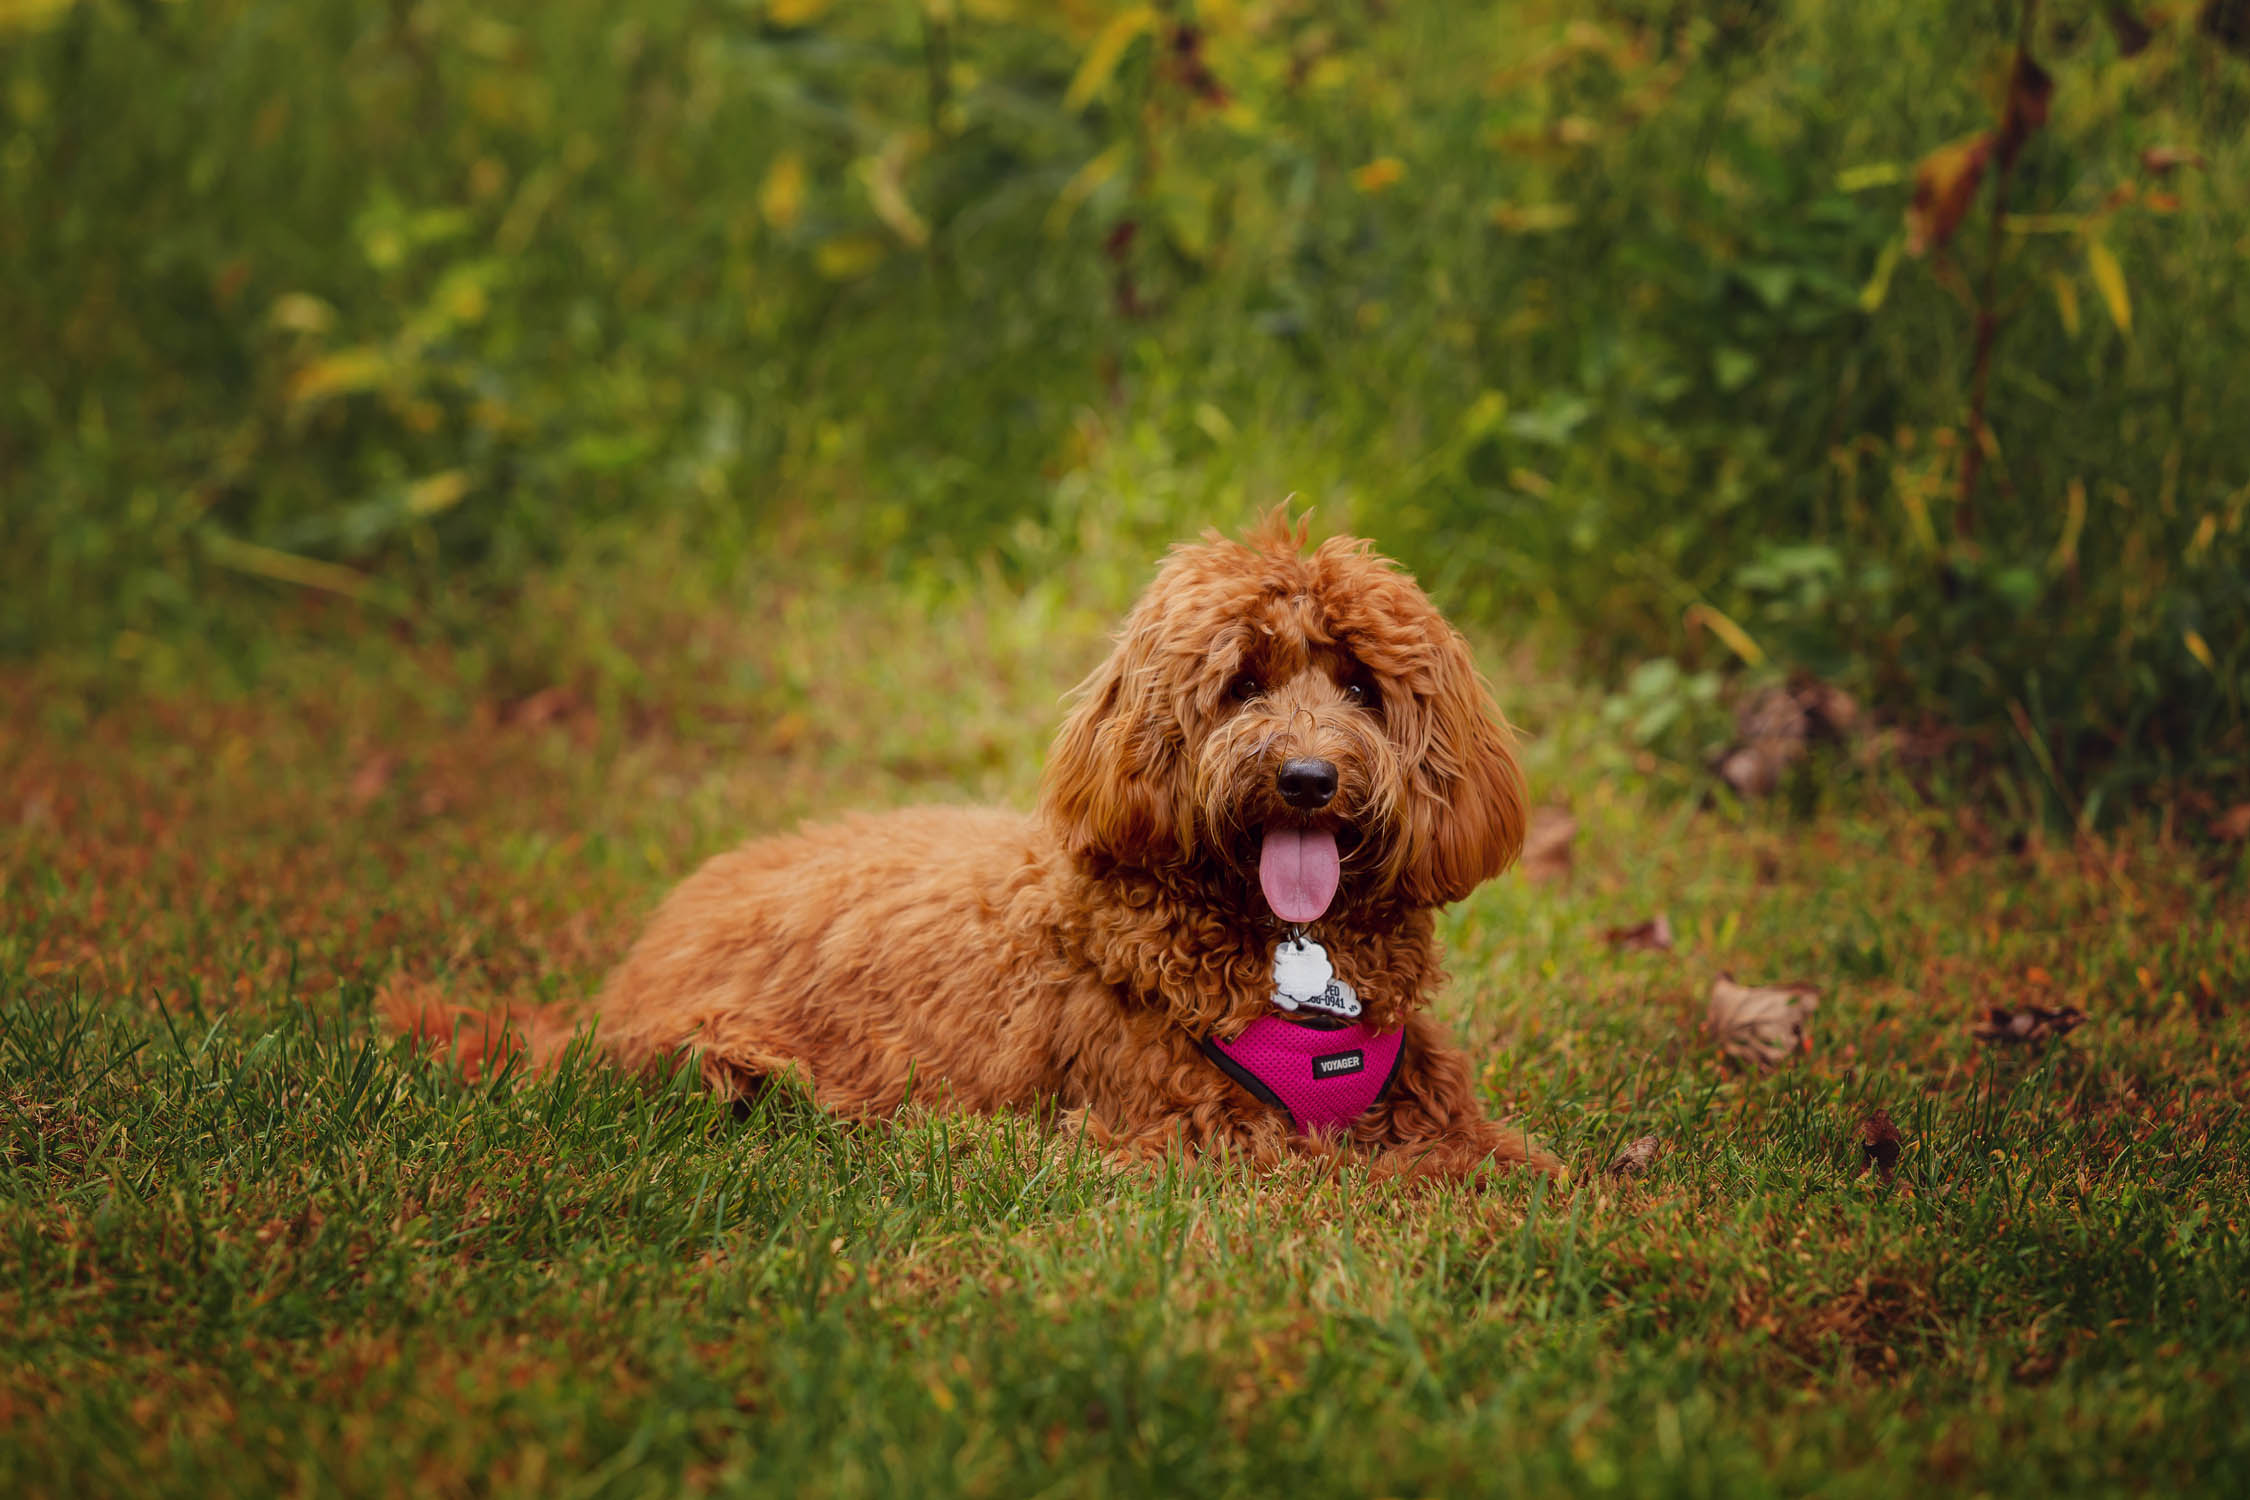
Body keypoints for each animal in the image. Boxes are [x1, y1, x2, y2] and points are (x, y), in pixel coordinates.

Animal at [391, 517, 1548, 1187]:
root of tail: (627, 973)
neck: (1288, 955)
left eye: (1358, 685)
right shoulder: (1189, 1129)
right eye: (1243, 682)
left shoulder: (1423, 1091)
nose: (1308, 778)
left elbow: (1507, 1156)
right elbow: (1356, 1175)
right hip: (710, 1047)